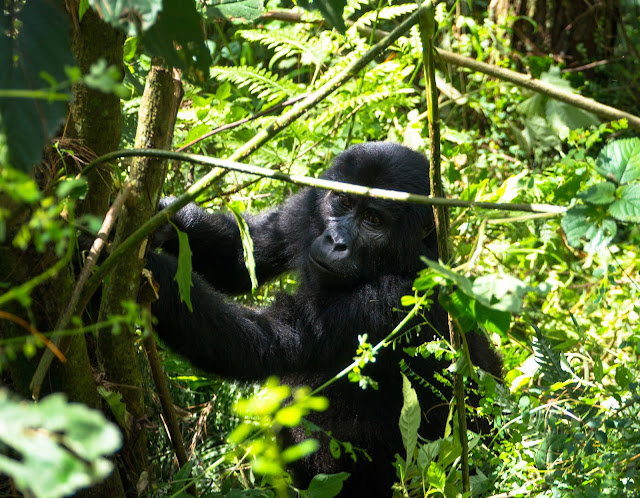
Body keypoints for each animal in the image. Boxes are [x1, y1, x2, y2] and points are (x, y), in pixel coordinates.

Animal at [148, 142, 502, 496]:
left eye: (374, 219)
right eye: (343, 202)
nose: (336, 242)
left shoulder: (397, 299)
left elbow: (272, 341)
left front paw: (156, 275)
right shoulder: (305, 207)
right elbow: (243, 252)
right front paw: (166, 219)